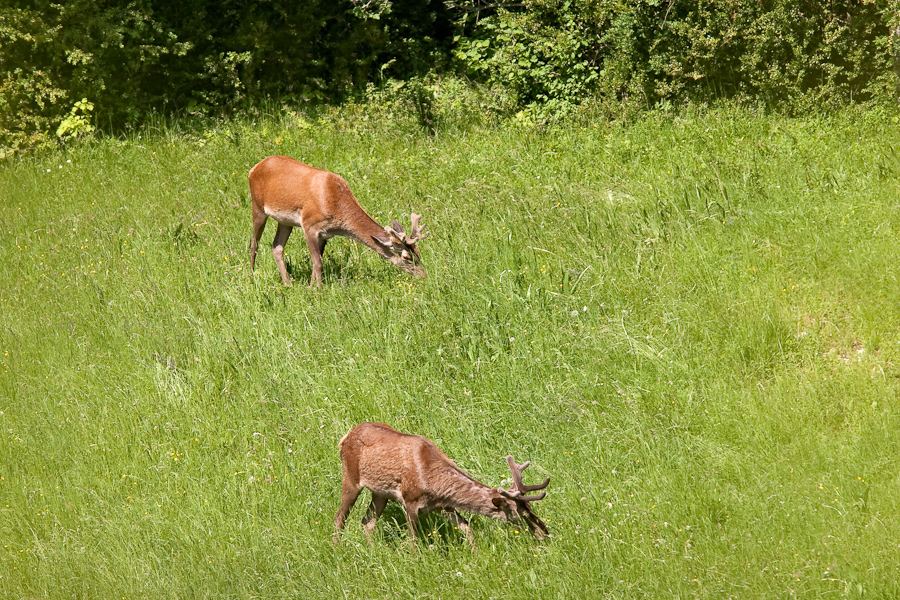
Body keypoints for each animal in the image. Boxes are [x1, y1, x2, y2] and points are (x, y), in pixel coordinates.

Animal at [246, 154, 428, 288]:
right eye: (407, 257)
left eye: (418, 253)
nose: (424, 275)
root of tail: (254, 168)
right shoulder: (309, 225)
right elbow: (318, 263)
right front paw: (319, 291)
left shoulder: (325, 234)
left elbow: (316, 262)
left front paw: (311, 288)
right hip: (258, 206)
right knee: (254, 243)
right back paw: (251, 276)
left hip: (285, 221)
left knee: (277, 246)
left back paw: (287, 283)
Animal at [334, 422, 552, 548]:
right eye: (519, 513)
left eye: (530, 507)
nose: (545, 534)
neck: (434, 483)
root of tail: (344, 437)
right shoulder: (410, 499)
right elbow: (413, 540)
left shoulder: (443, 505)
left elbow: (467, 528)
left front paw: (476, 555)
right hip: (351, 478)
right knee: (340, 517)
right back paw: (337, 550)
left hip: (380, 493)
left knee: (367, 522)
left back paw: (373, 551)